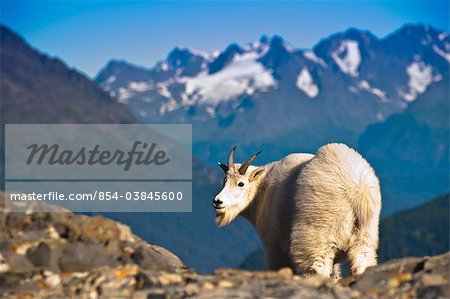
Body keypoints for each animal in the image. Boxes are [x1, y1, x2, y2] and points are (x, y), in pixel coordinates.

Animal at [214, 144, 380, 278]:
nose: (217, 201)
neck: (261, 192)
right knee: (362, 263)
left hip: (316, 235)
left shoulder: (275, 246)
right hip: (365, 237)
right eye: (224, 180)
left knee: (316, 268)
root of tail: (357, 191)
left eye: (241, 184)